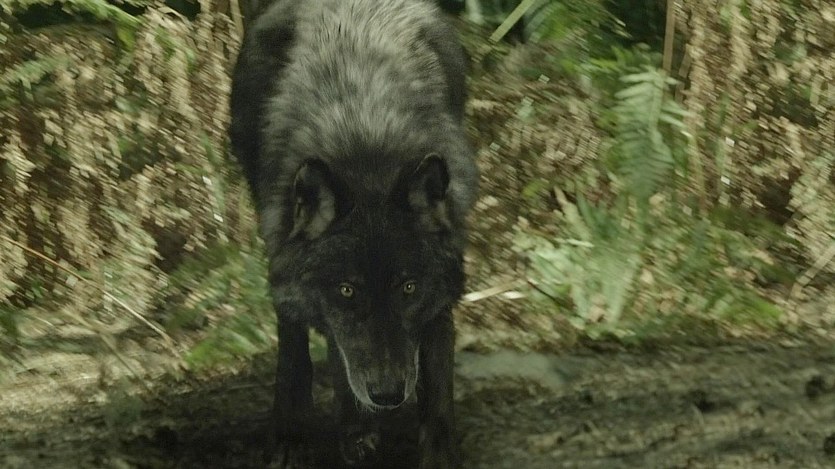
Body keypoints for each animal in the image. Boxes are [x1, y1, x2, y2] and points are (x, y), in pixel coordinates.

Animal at [229, 0, 477, 467]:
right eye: (346, 290)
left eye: (408, 288)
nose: (387, 395)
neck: (365, 154)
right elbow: (300, 351)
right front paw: (293, 436)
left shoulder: (439, 292)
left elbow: (437, 375)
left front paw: (437, 449)